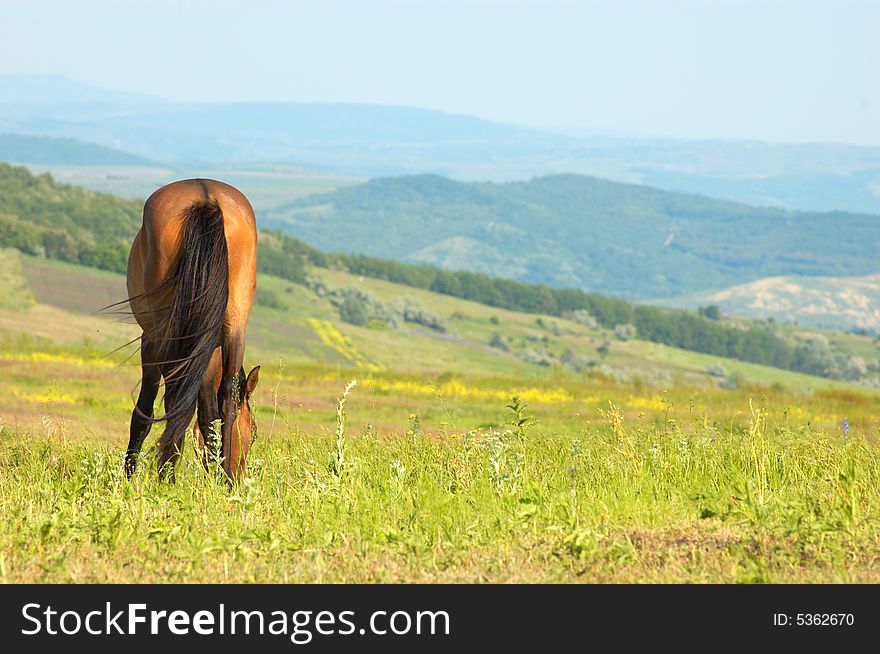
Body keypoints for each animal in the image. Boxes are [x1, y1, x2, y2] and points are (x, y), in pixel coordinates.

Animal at [124, 178, 262, 482]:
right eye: (256, 432)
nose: (241, 474)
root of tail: (206, 197)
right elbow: (209, 414)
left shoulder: (154, 342)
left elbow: (150, 409)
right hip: (236, 327)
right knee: (227, 395)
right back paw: (223, 478)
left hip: (161, 336)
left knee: (168, 403)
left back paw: (166, 474)